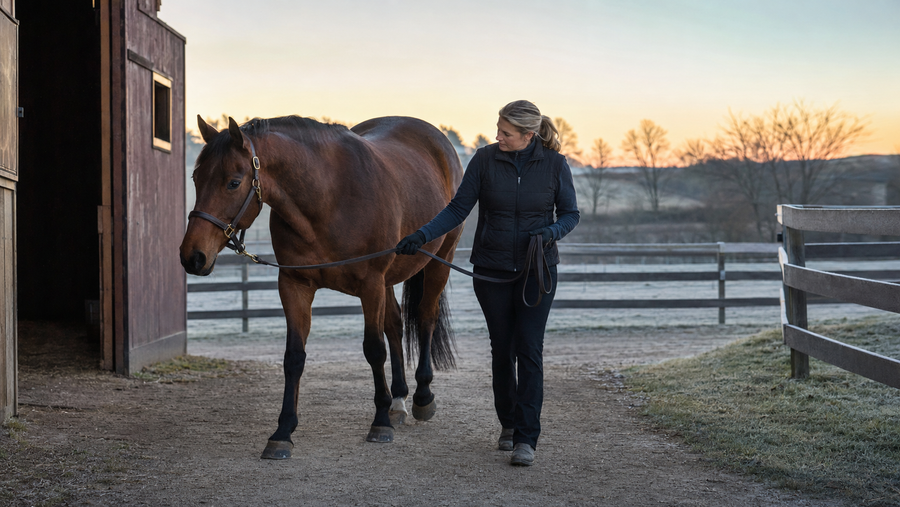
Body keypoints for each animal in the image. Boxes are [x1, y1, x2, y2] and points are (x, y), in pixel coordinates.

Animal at [179, 114, 463, 459]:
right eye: (196, 178)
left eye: (233, 182)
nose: (192, 257)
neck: (328, 198)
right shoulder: (295, 285)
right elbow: (294, 357)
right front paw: (283, 432)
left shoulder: (371, 284)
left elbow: (374, 349)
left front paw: (380, 422)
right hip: (390, 280)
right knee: (396, 325)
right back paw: (398, 401)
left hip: (439, 261)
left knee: (425, 319)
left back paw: (422, 397)